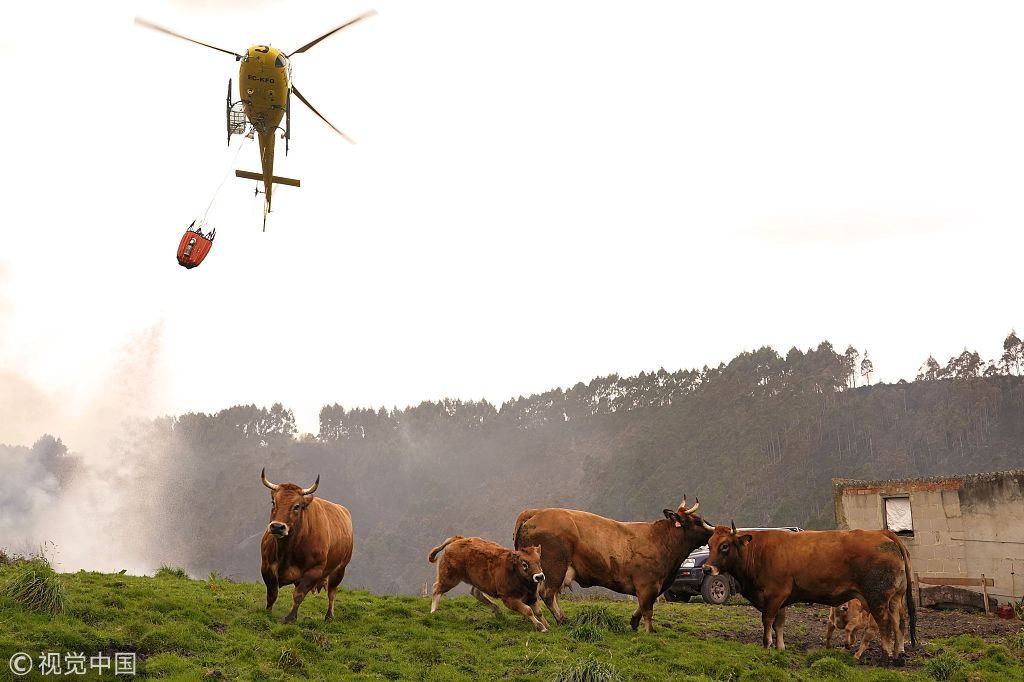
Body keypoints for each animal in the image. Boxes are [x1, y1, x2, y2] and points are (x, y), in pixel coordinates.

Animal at [258, 466, 354, 622]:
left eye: (297, 506)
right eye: (273, 502)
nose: (277, 527)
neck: (287, 551)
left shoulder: (314, 571)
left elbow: (298, 595)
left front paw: (290, 618)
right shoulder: (266, 566)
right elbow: (272, 594)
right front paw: (267, 613)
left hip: (340, 569)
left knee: (332, 593)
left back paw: (329, 616)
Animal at [512, 493, 712, 630]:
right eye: (697, 521)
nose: (713, 531)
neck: (661, 539)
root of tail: (535, 512)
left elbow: (642, 607)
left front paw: (633, 622)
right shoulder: (648, 584)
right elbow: (647, 609)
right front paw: (649, 631)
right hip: (555, 567)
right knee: (547, 593)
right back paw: (561, 619)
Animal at [708, 522, 917, 659]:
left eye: (724, 546)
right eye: (709, 544)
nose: (707, 568)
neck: (758, 551)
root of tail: (883, 533)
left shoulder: (774, 596)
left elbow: (767, 621)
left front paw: (766, 645)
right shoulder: (780, 600)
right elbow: (779, 624)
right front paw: (780, 647)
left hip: (877, 597)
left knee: (885, 622)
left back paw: (887, 654)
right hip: (895, 597)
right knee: (899, 620)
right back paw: (899, 654)